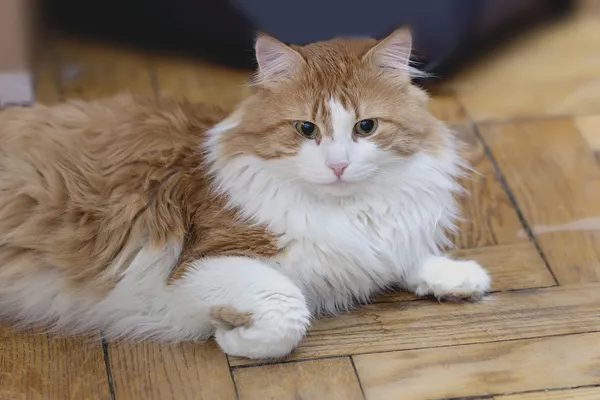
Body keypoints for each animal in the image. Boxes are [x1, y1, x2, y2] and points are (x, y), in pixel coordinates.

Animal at [0, 28, 490, 360]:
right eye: (306, 129)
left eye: (365, 127)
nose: (338, 165)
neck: (348, 211)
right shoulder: (199, 266)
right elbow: (288, 310)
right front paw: (231, 337)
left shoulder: (386, 236)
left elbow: (407, 255)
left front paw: (457, 276)